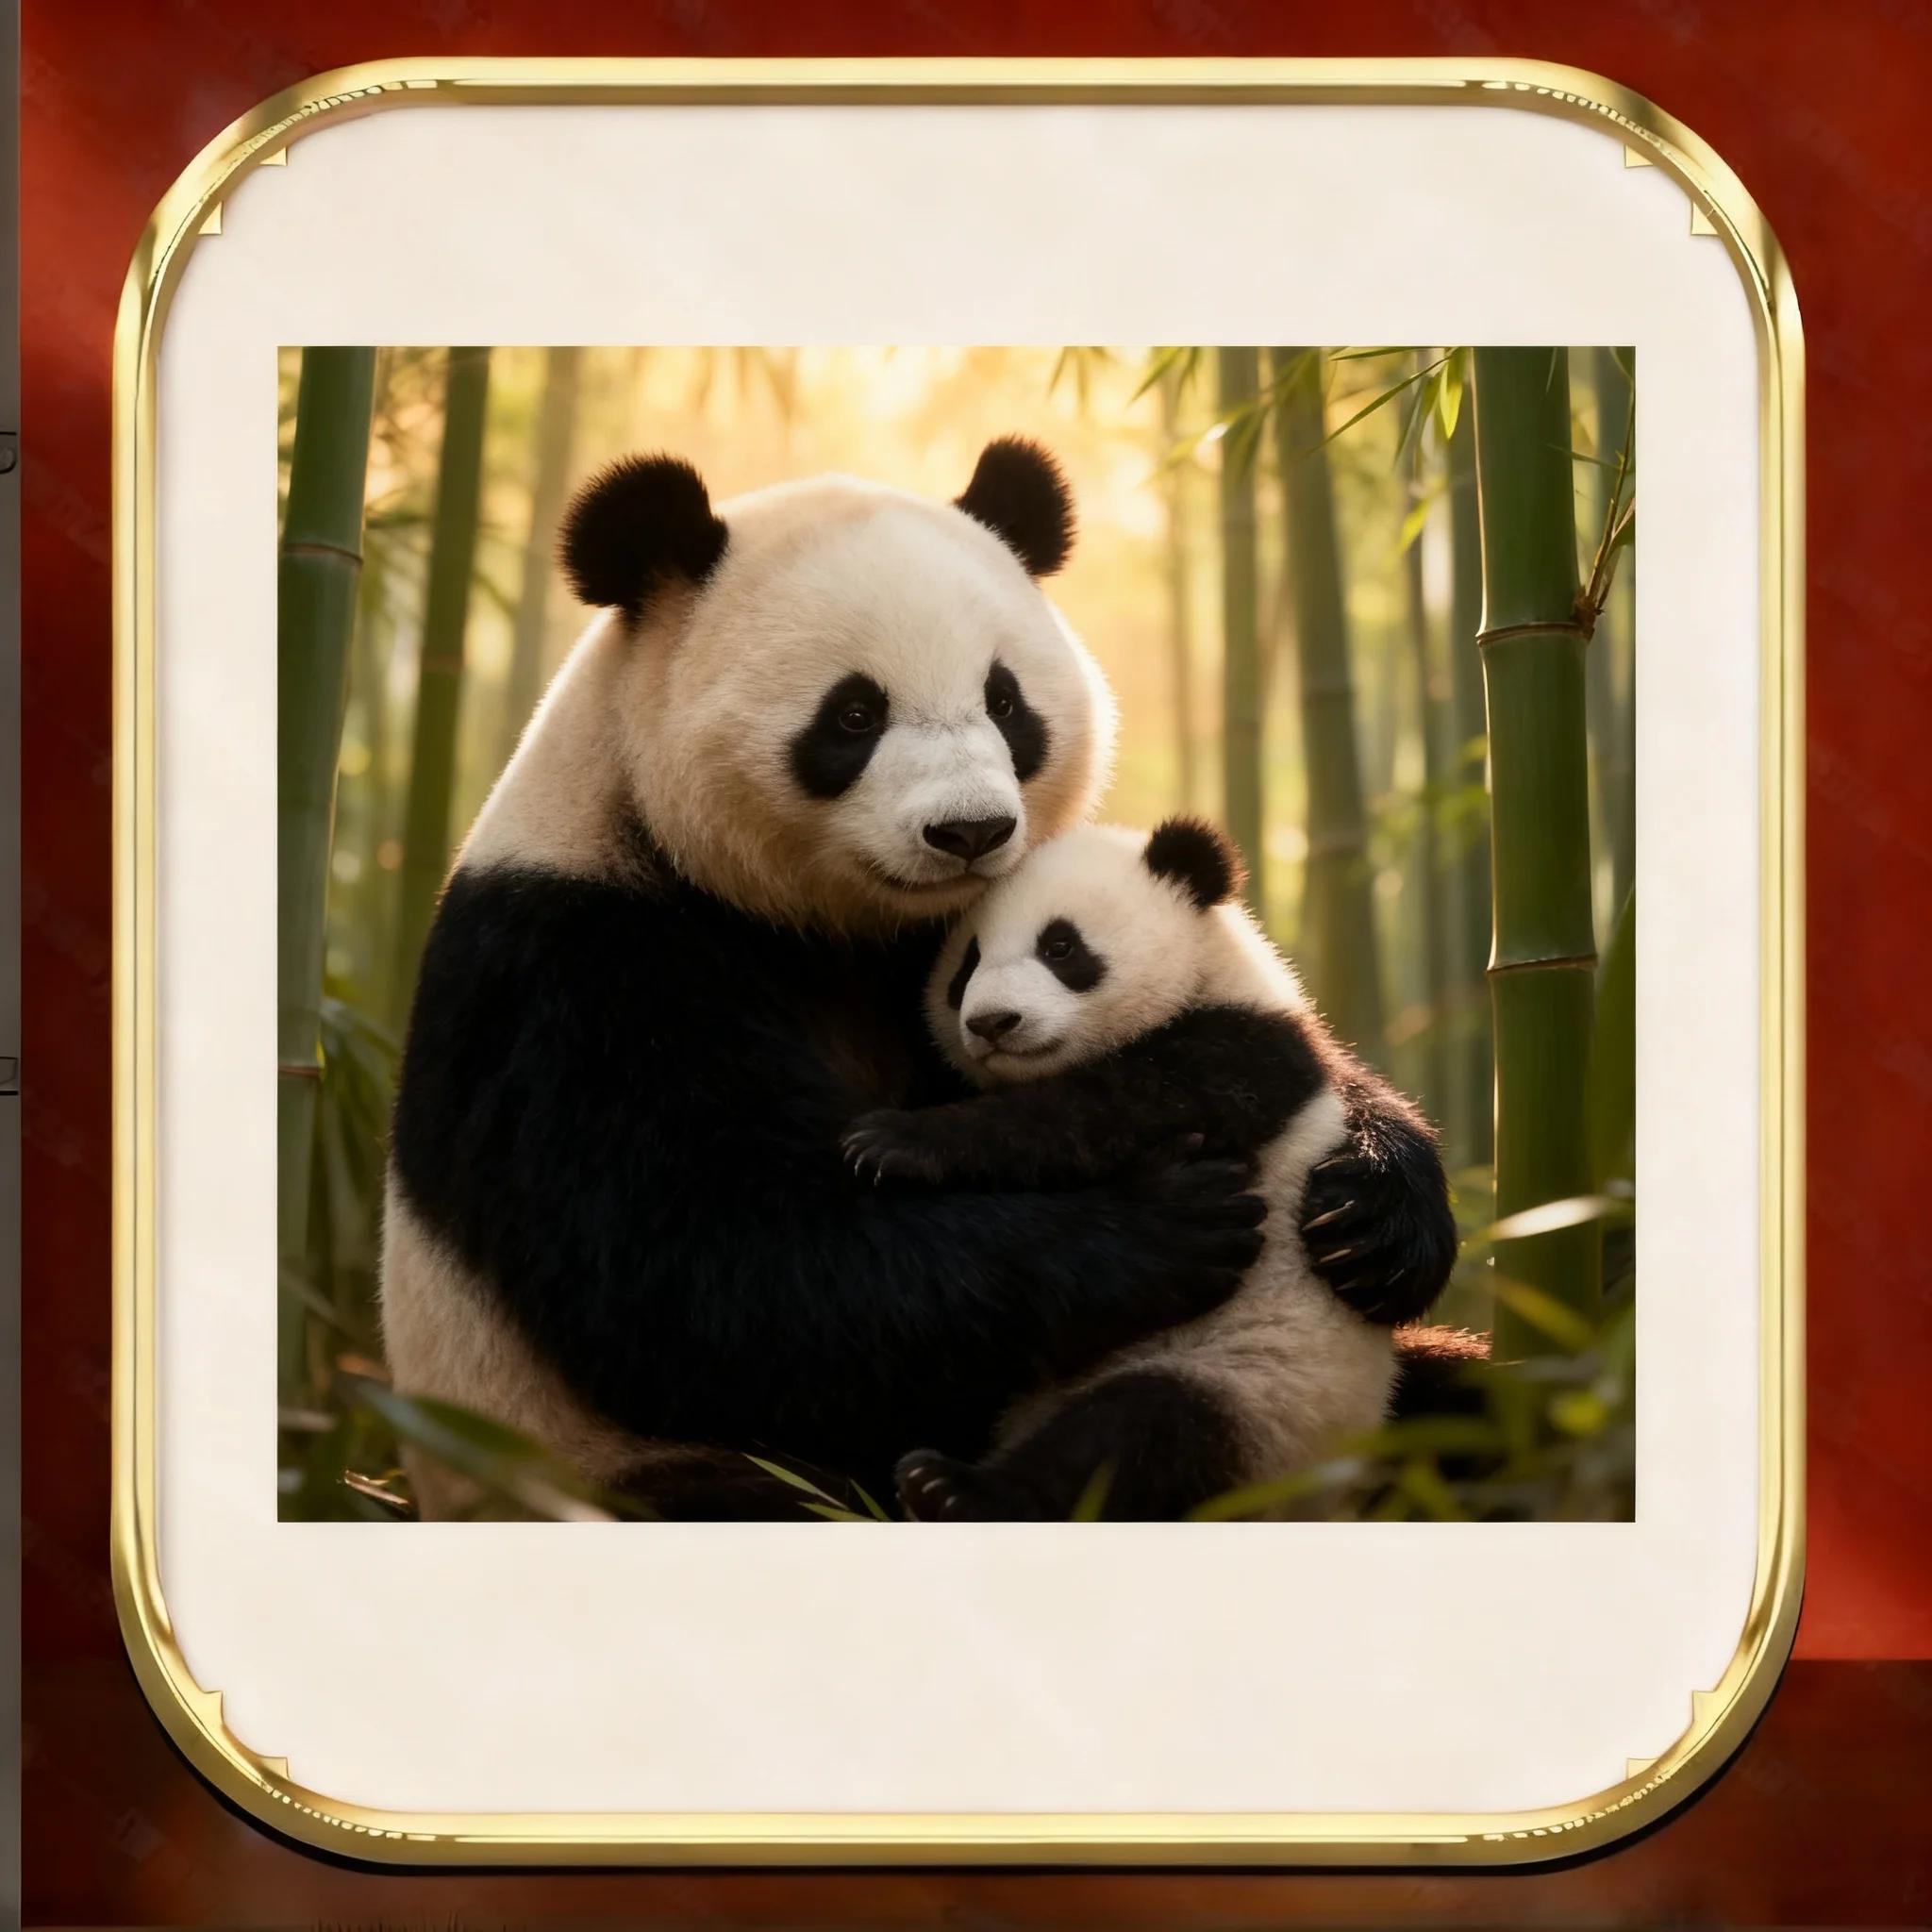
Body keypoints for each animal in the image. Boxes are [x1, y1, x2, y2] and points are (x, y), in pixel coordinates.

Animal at [843, 817, 1408, 1521]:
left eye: (1061, 947)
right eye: (965, 966)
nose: (992, 1023)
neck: (1210, 974)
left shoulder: (1242, 1053)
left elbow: (1102, 1111)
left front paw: (899, 1140)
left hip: (1256, 1390)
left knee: (1135, 1433)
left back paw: (955, 1488)